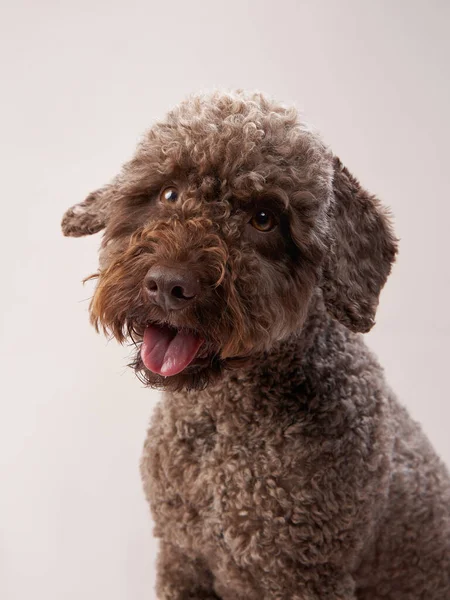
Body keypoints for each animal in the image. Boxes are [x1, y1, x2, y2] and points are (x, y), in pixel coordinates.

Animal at [62, 90, 450, 600]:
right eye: (169, 193)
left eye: (263, 218)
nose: (167, 285)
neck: (221, 426)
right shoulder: (181, 558)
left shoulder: (303, 577)